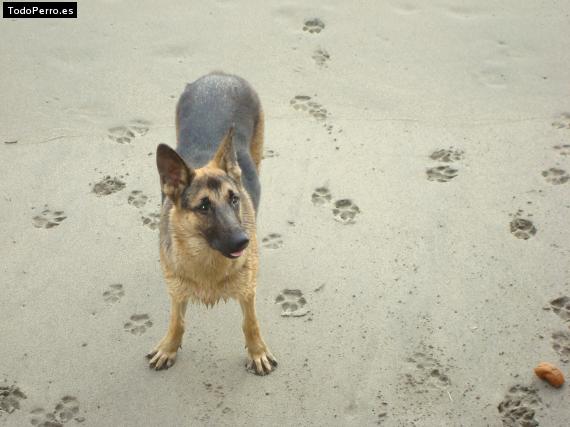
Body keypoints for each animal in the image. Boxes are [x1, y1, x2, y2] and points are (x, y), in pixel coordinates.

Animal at [146, 72, 278, 374]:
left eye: (234, 199)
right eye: (204, 206)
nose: (244, 241)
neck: (207, 259)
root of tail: (219, 75)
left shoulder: (248, 291)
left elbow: (250, 323)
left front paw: (257, 351)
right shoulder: (177, 290)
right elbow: (177, 320)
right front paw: (169, 346)